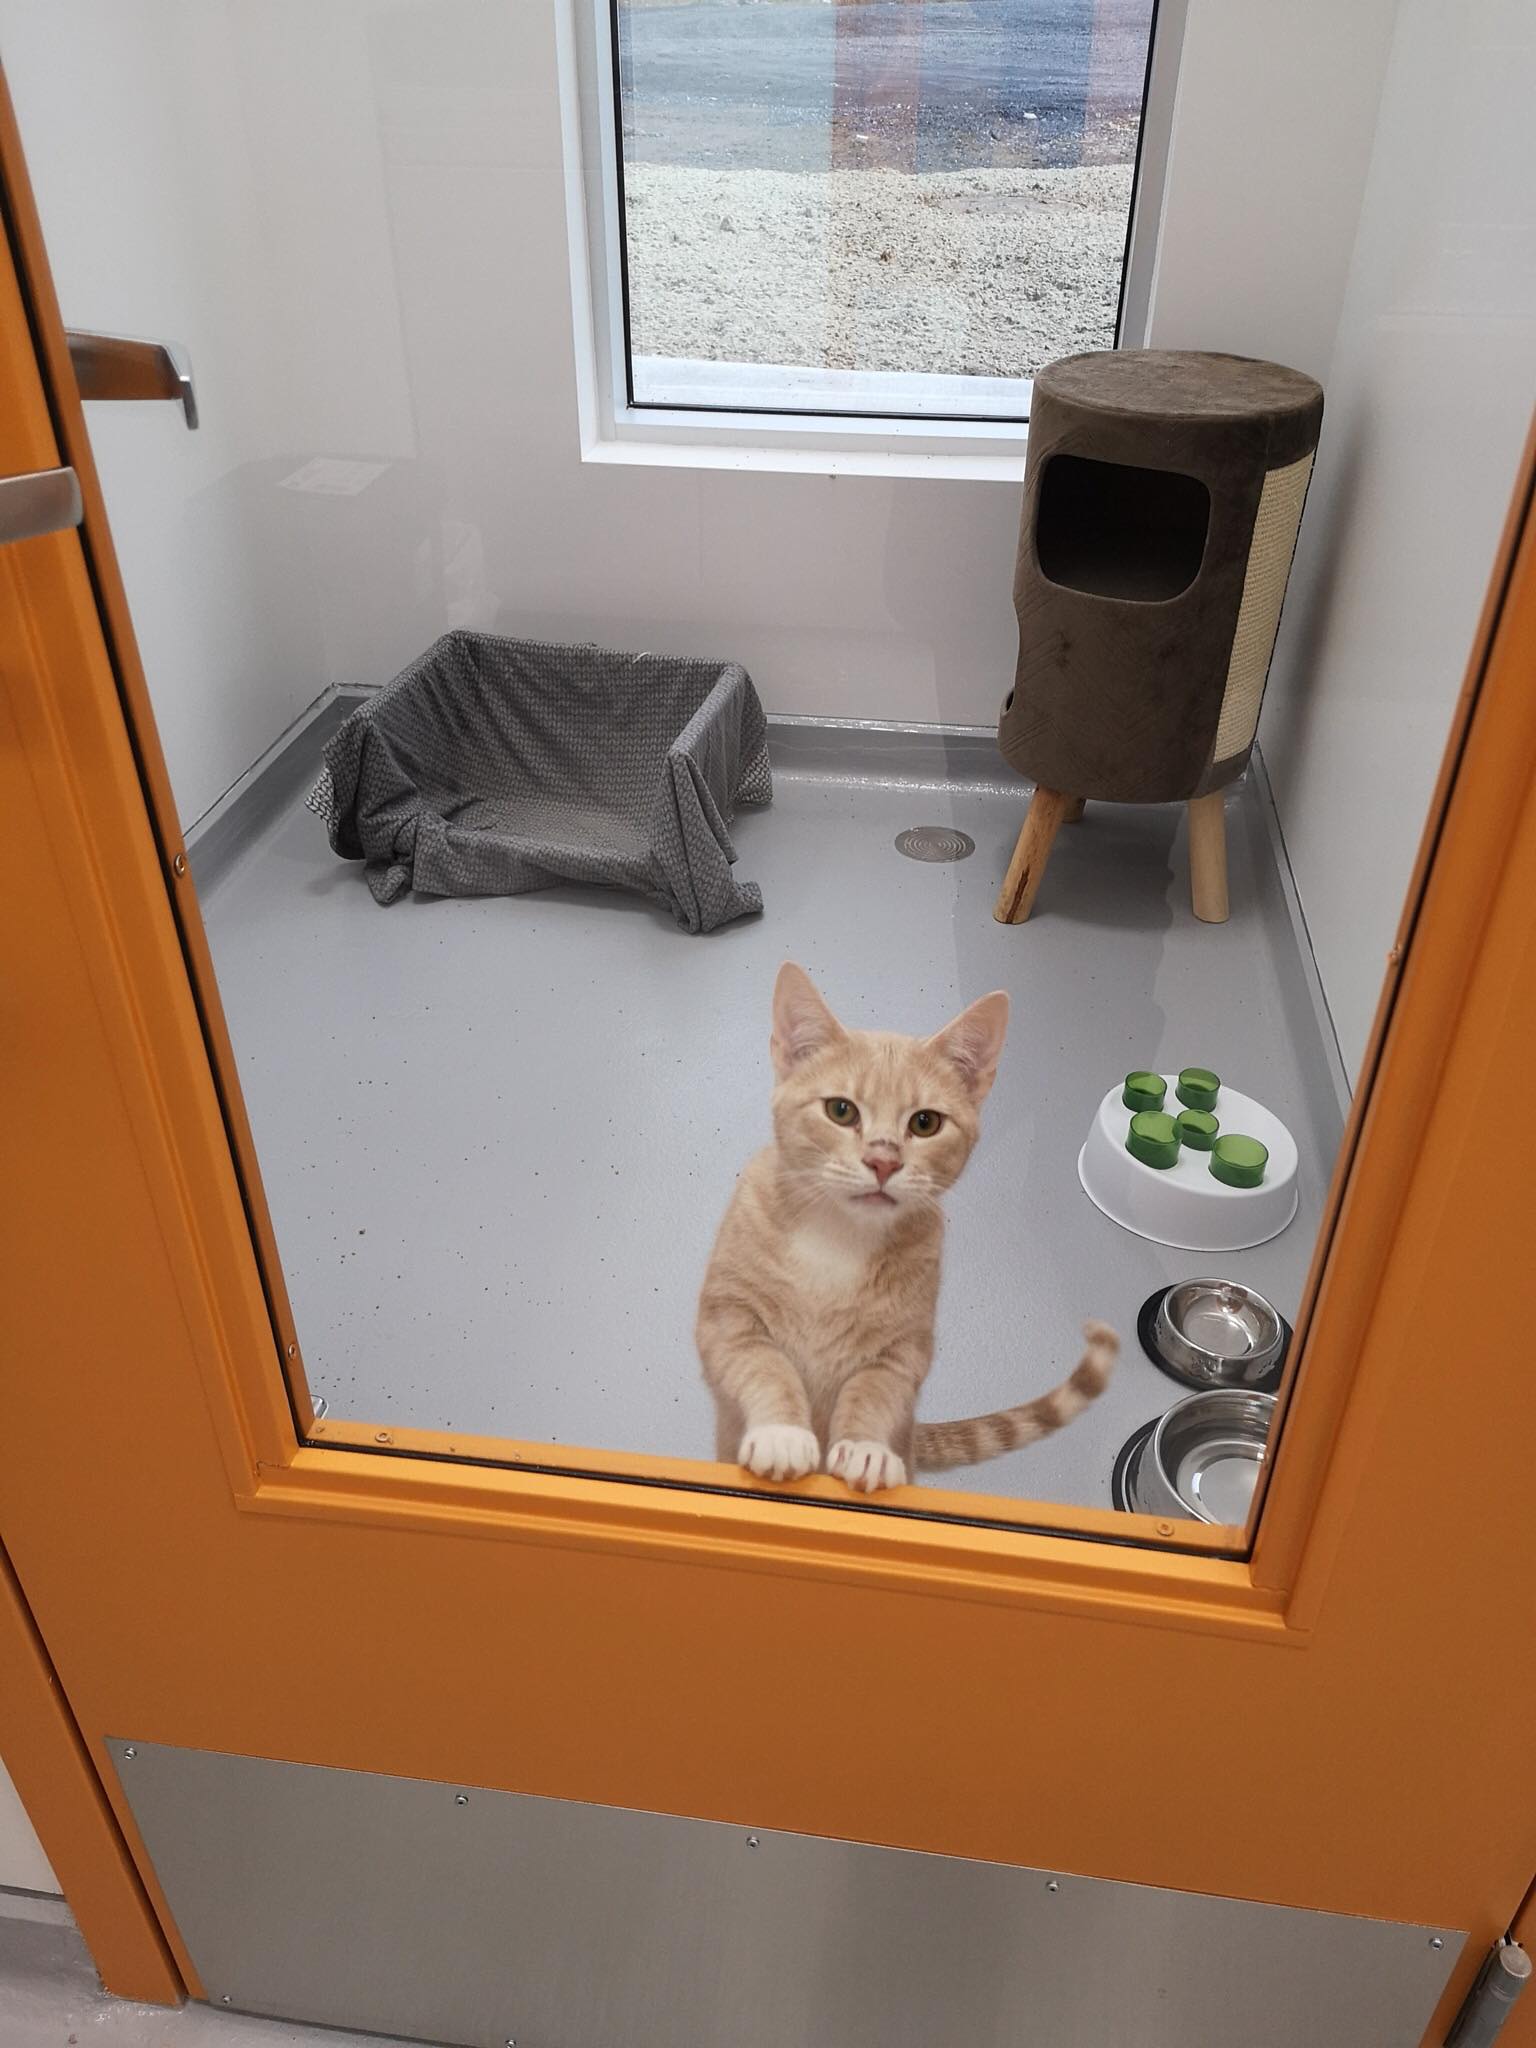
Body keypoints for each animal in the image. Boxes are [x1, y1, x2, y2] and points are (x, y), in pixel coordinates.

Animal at [697, 962, 1118, 1493]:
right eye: (840, 1110)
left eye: (924, 1123)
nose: (883, 1160)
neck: (838, 1238)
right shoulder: (728, 1317)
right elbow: (765, 1366)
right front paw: (782, 1433)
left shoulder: (903, 1350)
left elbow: (873, 1392)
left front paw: (865, 1449)